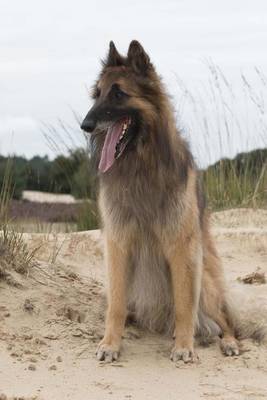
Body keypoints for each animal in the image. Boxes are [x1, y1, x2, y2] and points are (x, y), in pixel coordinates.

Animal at [81, 40, 249, 362]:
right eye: (97, 94)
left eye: (118, 93)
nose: (85, 124)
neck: (140, 164)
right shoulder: (118, 245)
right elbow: (116, 305)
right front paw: (111, 343)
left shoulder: (182, 247)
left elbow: (184, 305)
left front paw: (183, 346)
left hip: (205, 282)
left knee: (224, 321)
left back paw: (228, 342)